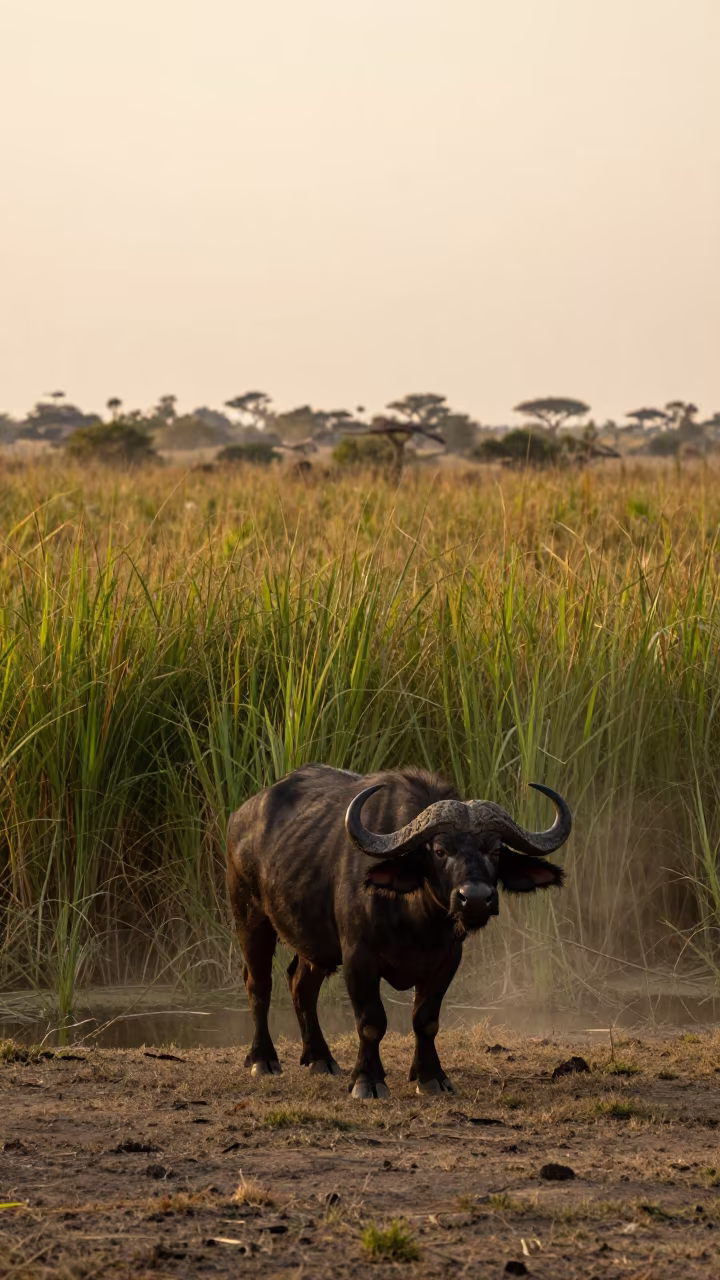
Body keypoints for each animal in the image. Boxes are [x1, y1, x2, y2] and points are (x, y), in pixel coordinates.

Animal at [226, 764, 571, 1098]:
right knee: (259, 984)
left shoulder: (447, 959)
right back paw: (263, 1060)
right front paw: (367, 1081)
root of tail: (242, 816)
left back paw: (320, 1059)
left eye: (495, 851)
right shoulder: (358, 959)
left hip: (313, 944)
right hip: (250, 918)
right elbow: (371, 1022)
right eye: (440, 851)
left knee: (300, 985)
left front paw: (431, 1077)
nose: (474, 898)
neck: (417, 922)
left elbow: (426, 1020)